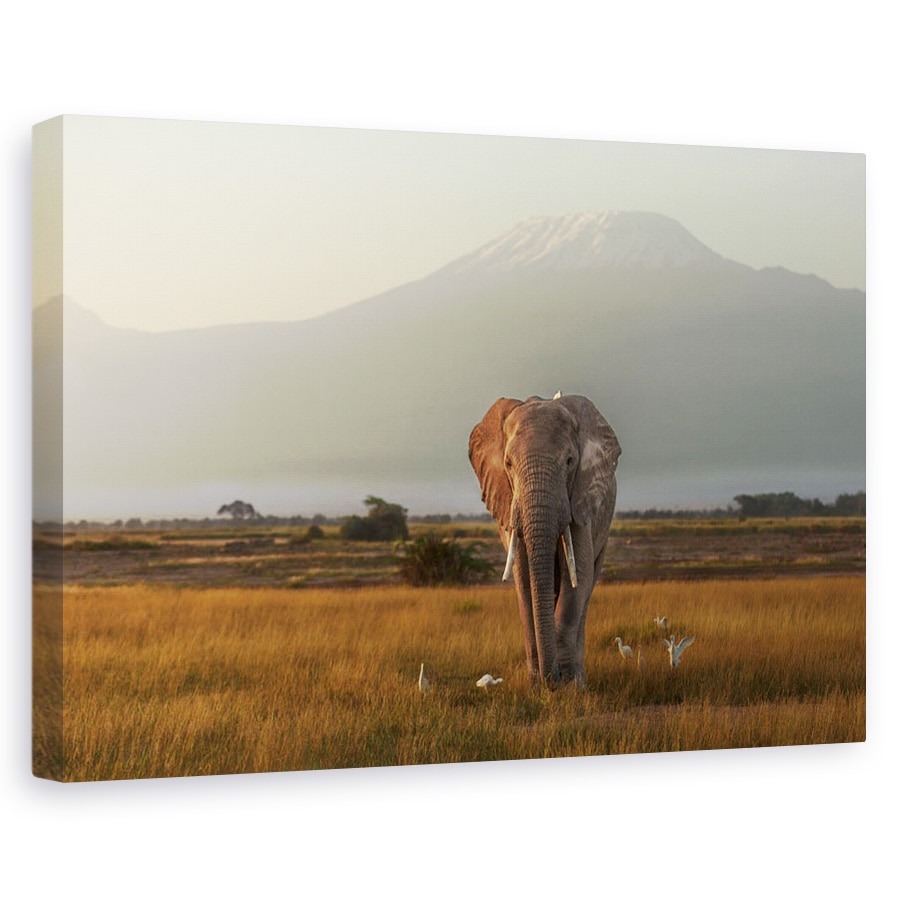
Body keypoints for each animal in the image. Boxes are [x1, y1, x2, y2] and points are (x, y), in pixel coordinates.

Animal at [468, 394, 621, 687]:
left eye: (570, 461)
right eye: (508, 464)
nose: (553, 680)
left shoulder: (581, 497)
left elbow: (579, 576)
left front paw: (570, 686)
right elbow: (524, 579)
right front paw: (537, 685)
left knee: (587, 588)